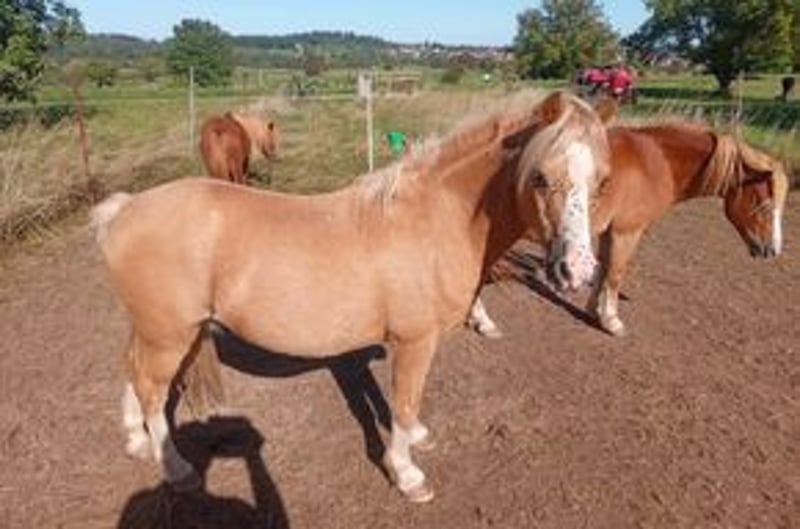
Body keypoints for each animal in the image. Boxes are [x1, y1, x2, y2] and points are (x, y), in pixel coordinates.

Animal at [91, 90, 614, 503]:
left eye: (603, 180)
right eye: (540, 176)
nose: (578, 270)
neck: (435, 218)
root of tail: (123, 210)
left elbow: (405, 404)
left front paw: (417, 439)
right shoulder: (414, 341)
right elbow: (403, 402)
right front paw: (407, 475)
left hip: (161, 331)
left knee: (133, 372)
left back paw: (137, 442)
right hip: (169, 335)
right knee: (153, 390)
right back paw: (175, 468)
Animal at [469, 119, 789, 338]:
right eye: (763, 203)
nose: (771, 249)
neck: (657, 160)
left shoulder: (608, 232)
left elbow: (602, 271)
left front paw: (593, 311)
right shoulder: (627, 232)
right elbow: (616, 274)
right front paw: (612, 321)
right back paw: (483, 322)